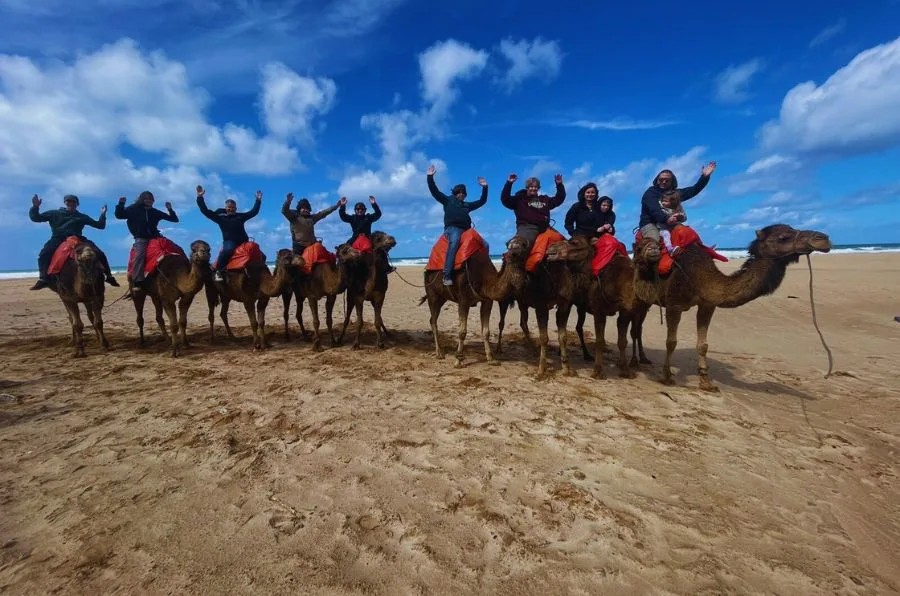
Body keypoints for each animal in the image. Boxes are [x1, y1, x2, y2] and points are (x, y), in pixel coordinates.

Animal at [420, 237, 528, 367]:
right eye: (511, 250)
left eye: (525, 250)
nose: (523, 281)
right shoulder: (463, 300)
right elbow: (462, 331)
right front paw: (458, 361)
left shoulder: (487, 301)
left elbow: (486, 331)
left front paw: (491, 359)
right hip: (432, 294)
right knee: (433, 320)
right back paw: (439, 353)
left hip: (442, 297)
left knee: (432, 319)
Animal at [496, 237, 594, 377]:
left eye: (574, 242)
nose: (510, 253)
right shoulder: (541, 305)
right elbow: (544, 337)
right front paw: (541, 369)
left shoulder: (565, 305)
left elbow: (563, 336)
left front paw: (566, 368)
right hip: (505, 297)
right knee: (502, 322)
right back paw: (499, 349)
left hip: (523, 302)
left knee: (523, 322)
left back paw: (534, 350)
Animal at [631, 224, 831, 391]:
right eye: (783, 237)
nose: (823, 238)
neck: (701, 277)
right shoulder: (674, 304)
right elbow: (671, 342)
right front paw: (667, 377)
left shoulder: (707, 304)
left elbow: (703, 345)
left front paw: (706, 382)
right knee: (636, 328)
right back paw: (635, 361)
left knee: (638, 328)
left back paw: (644, 359)